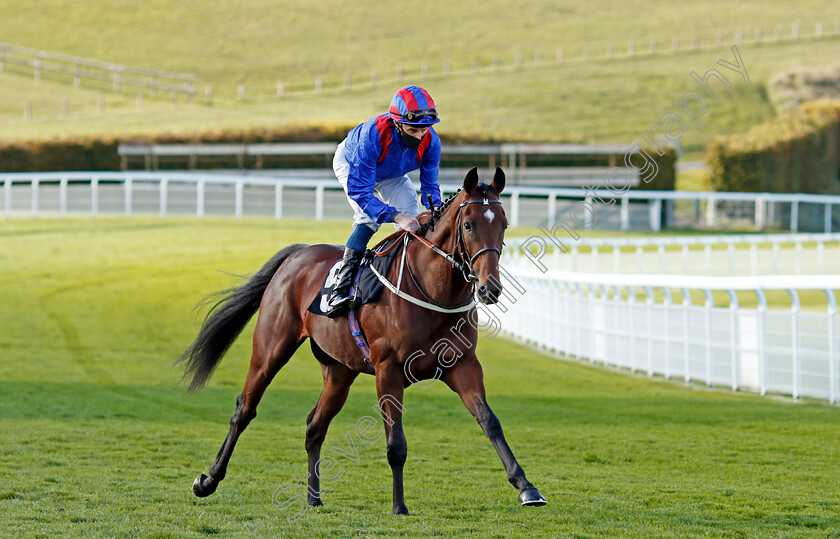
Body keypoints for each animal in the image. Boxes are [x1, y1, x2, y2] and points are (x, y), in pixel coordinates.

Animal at [179, 168, 544, 516]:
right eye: (468, 225)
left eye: (504, 225)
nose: (489, 288)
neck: (433, 291)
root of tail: (298, 254)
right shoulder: (389, 370)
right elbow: (396, 443)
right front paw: (399, 506)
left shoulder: (463, 365)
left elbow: (490, 422)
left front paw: (527, 487)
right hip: (271, 349)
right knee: (244, 409)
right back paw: (208, 480)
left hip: (339, 371)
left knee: (314, 425)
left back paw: (313, 498)